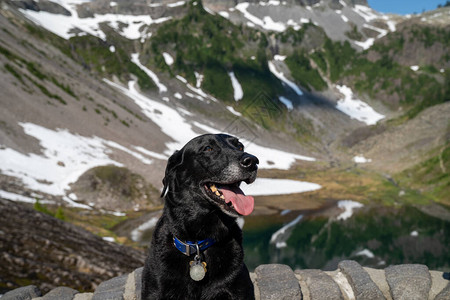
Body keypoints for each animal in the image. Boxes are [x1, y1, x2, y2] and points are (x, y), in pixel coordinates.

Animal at [141, 134, 260, 300]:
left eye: (240, 146)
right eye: (208, 148)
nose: (253, 161)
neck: (198, 242)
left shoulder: (238, 291)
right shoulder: (155, 291)